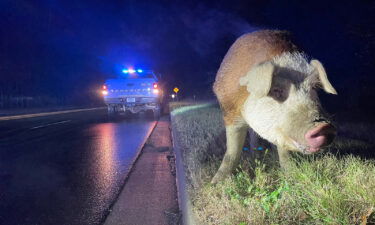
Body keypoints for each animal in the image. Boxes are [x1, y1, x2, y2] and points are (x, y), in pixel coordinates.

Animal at [213, 29, 340, 184]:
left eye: (314, 88)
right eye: (276, 90)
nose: (323, 126)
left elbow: (283, 149)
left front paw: (291, 174)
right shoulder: (229, 110)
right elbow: (232, 150)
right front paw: (216, 183)